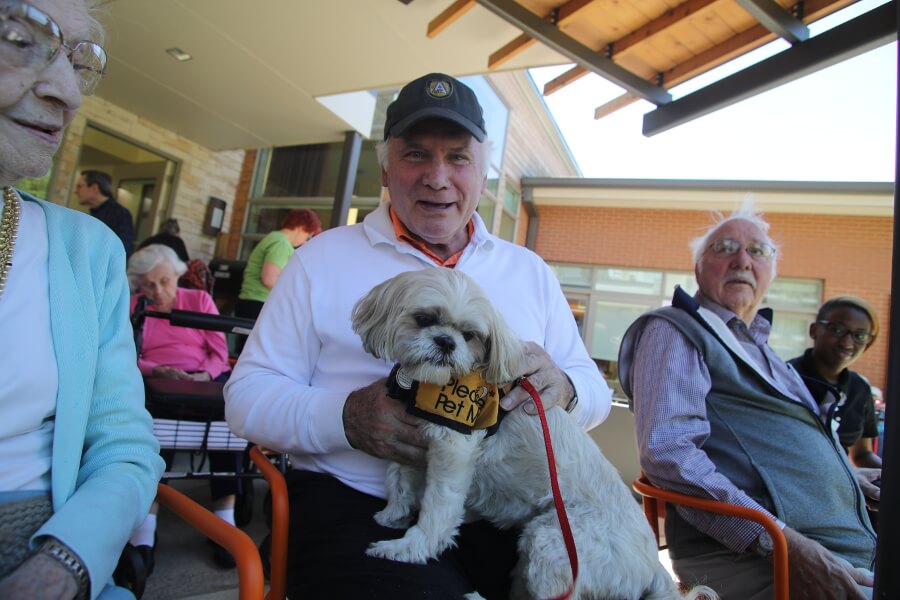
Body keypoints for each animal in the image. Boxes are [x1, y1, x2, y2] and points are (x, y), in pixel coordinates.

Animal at [350, 270, 712, 596]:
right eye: (424, 318)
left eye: (470, 335)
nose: (446, 342)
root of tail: (653, 567)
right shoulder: (409, 434)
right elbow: (398, 479)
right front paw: (393, 514)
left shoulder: (453, 449)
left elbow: (437, 507)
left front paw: (408, 549)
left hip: (555, 543)